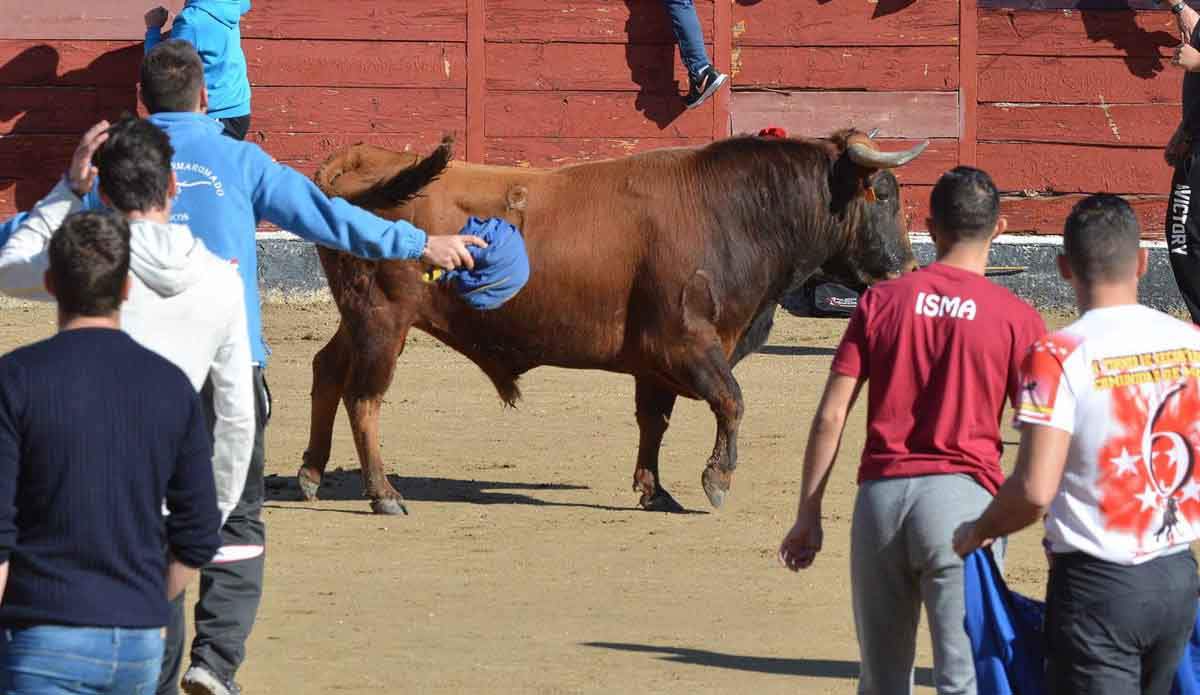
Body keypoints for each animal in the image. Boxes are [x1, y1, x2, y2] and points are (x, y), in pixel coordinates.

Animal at [304, 132, 921, 516]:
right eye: (884, 194)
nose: (909, 268)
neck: (733, 212)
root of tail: (362, 161)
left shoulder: (655, 362)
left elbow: (654, 422)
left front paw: (654, 490)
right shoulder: (685, 343)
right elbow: (732, 400)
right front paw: (717, 481)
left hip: (357, 318)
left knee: (327, 371)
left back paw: (311, 473)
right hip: (384, 319)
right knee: (365, 398)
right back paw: (383, 491)